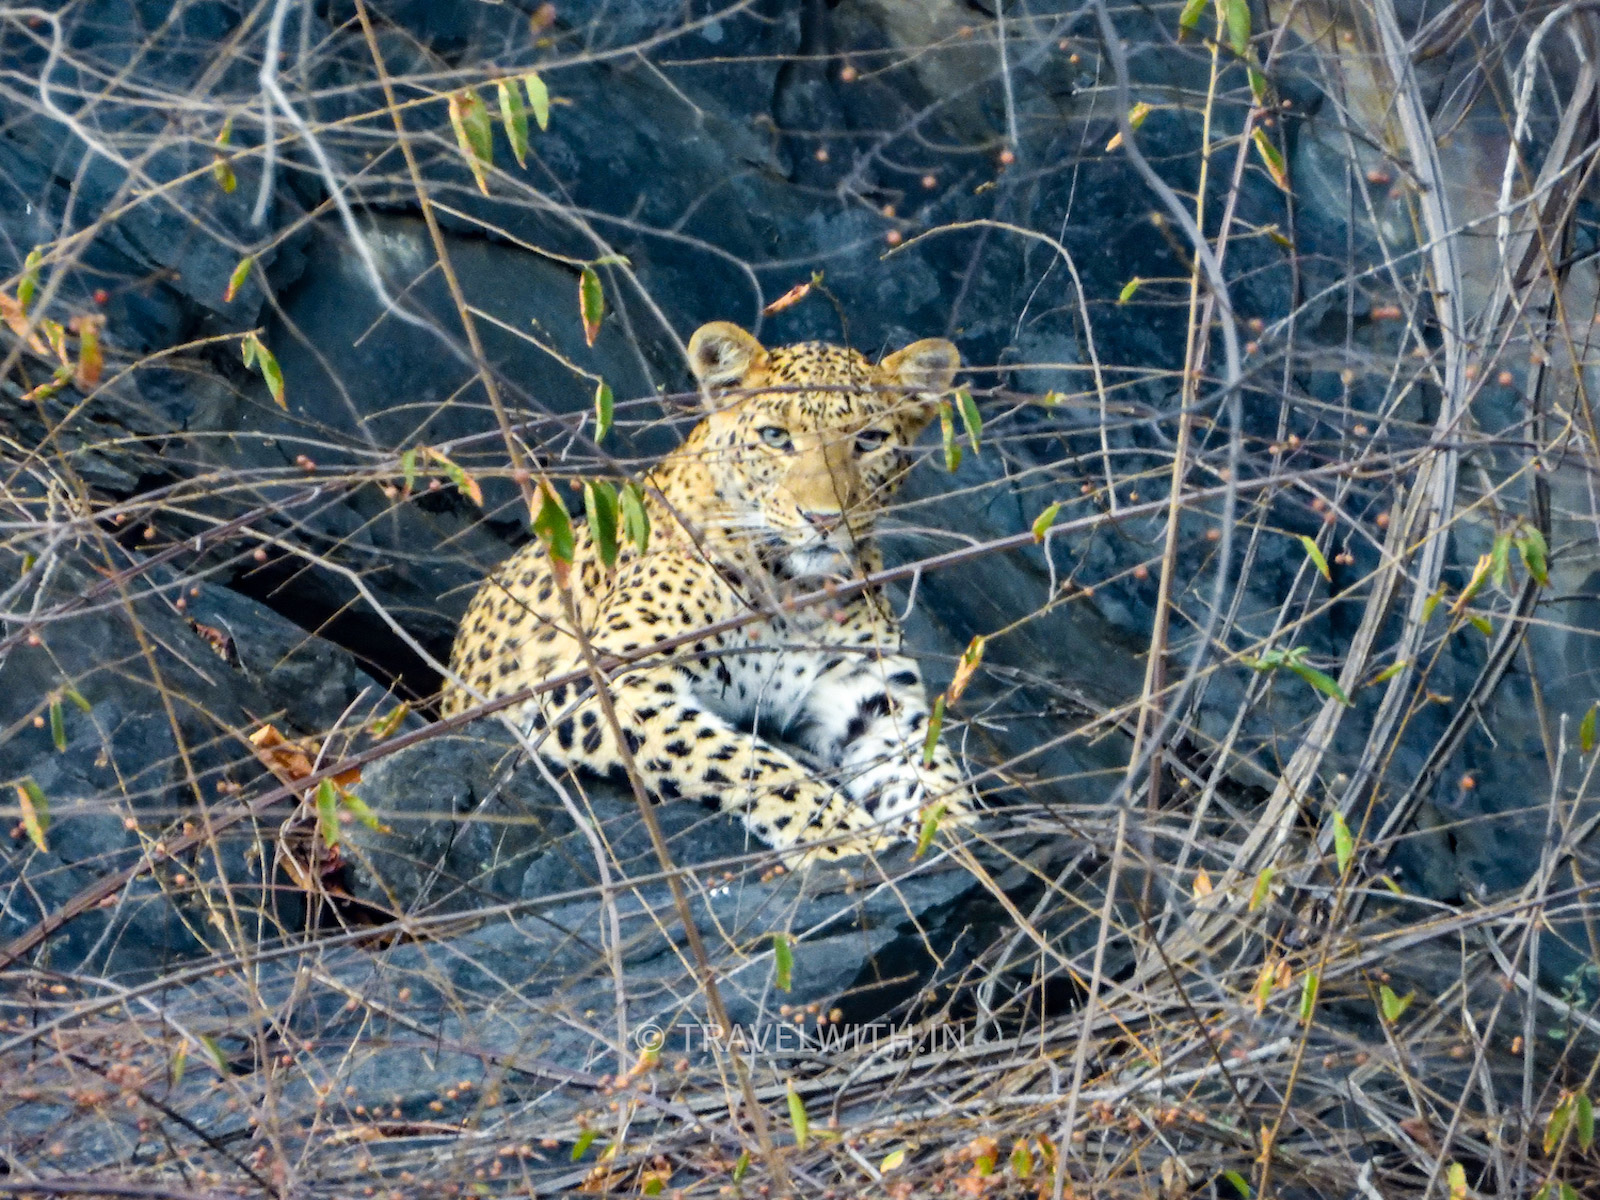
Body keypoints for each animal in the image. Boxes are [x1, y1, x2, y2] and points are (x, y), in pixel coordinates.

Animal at [444, 321, 979, 864]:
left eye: (869, 440)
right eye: (775, 437)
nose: (824, 519)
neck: (791, 592)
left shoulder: (871, 700)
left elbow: (932, 773)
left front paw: (967, 838)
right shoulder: (601, 686)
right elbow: (742, 759)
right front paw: (846, 837)